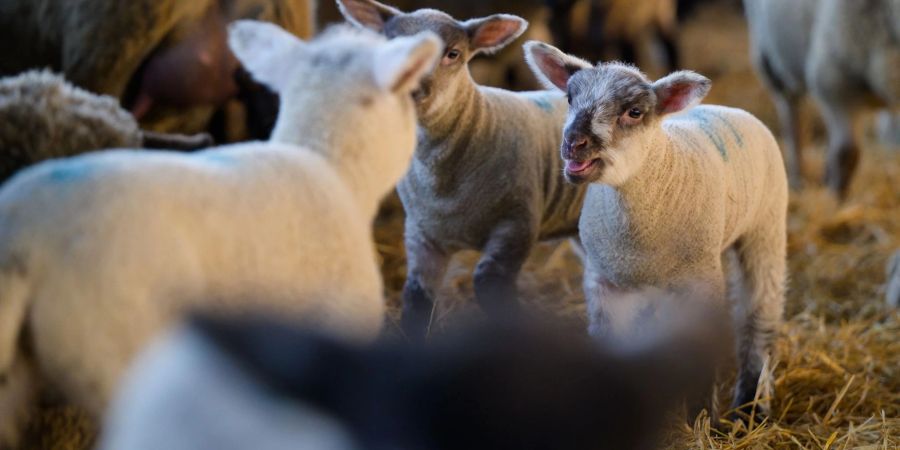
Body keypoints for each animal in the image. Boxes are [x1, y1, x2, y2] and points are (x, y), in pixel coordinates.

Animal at [340, 0, 592, 338]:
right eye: (390, 45)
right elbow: (416, 296)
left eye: (453, 53)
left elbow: (488, 284)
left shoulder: (517, 223)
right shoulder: (421, 233)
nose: (410, 86)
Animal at [744, 0, 900, 197]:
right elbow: (847, 152)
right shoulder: (834, 82)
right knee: (793, 121)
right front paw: (837, 198)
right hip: (772, 61)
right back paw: (797, 178)